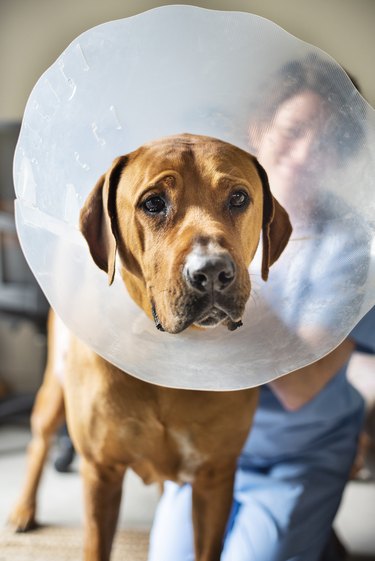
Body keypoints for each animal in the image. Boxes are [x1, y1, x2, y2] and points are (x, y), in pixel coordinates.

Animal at [7, 133, 292, 556]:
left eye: (239, 198)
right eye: (153, 203)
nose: (211, 271)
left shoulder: (215, 477)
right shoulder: (101, 472)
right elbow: (96, 544)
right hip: (52, 389)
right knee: (38, 442)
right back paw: (24, 509)